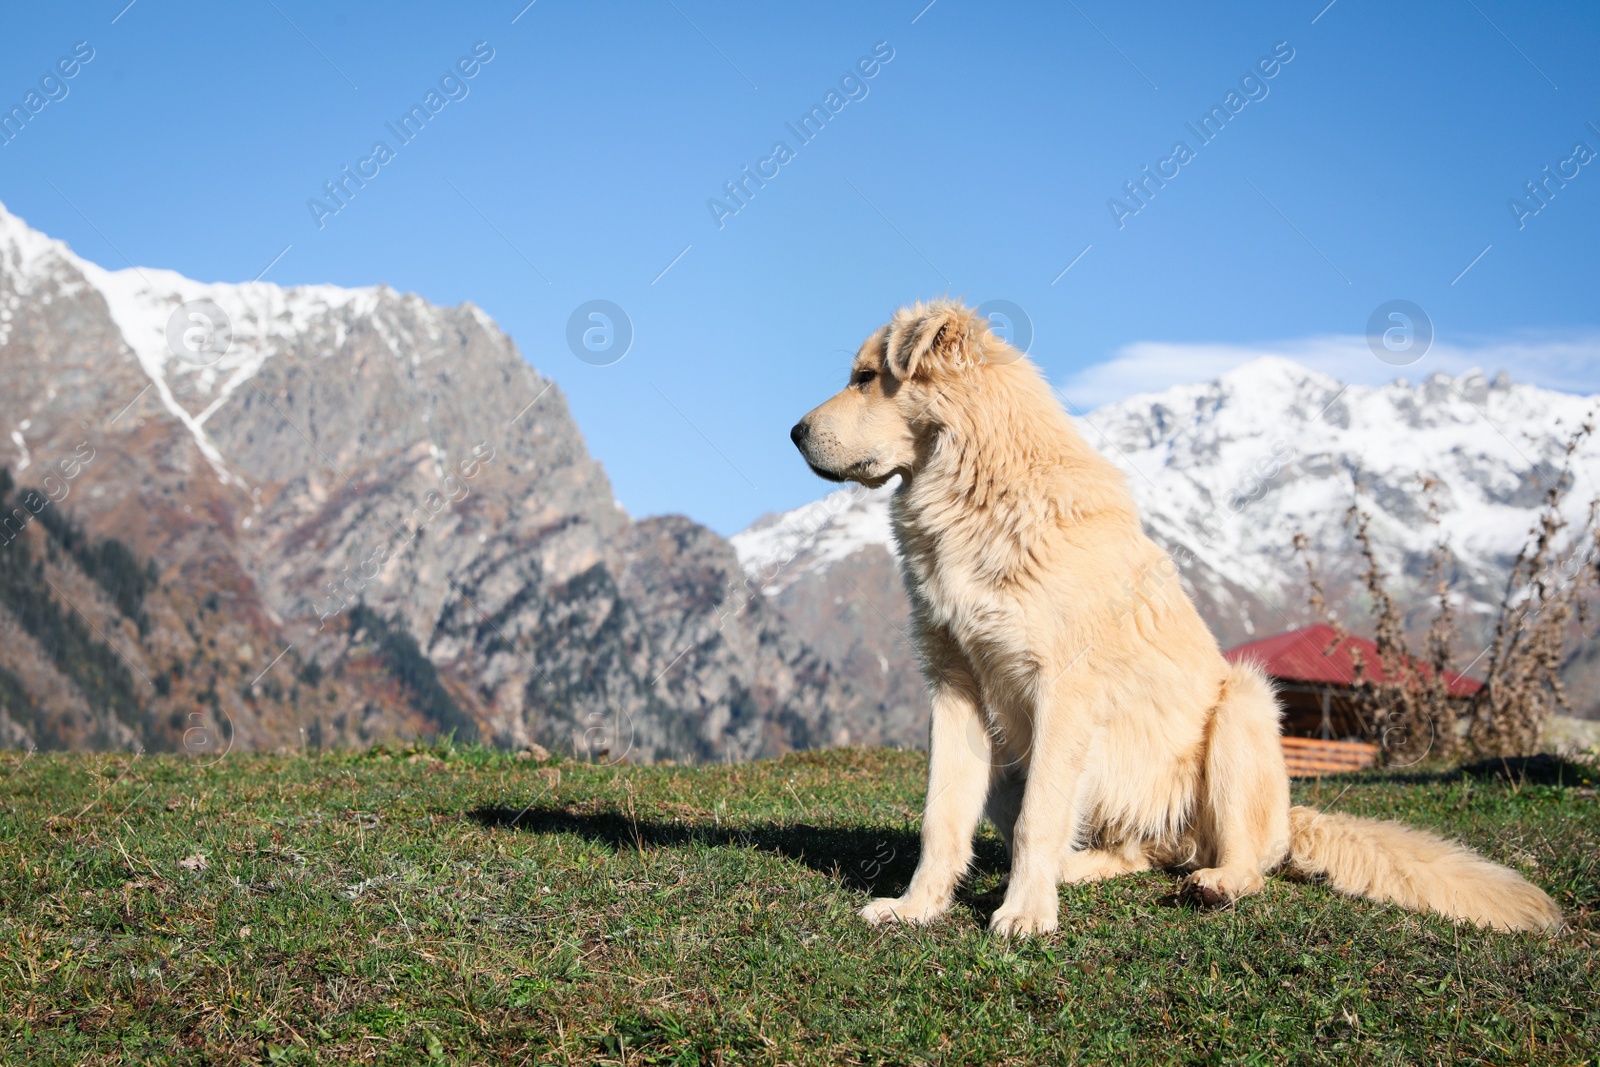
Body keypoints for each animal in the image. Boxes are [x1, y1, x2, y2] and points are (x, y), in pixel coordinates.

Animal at [787, 300, 1561, 934]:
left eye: (866, 377)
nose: (792, 431)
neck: (978, 493)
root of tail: (1291, 819)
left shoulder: (1063, 691)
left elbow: (1040, 819)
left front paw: (1026, 914)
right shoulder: (956, 688)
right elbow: (941, 818)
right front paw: (919, 907)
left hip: (1243, 703)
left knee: (1242, 858)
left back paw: (1214, 882)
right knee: (1138, 849)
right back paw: (1079, 869)